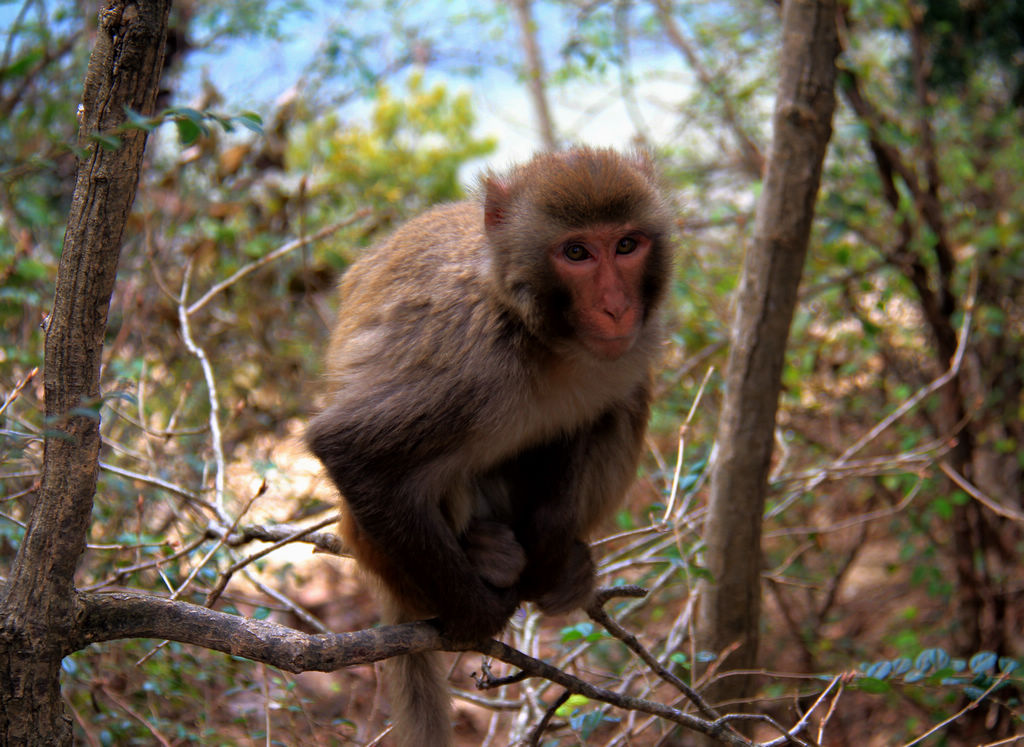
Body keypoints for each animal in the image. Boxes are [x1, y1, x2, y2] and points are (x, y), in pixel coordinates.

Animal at [303, 147, 671, 745]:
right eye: (576, 252)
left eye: (626, 245)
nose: (617, 307)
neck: (542, 335)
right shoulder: (472, 363)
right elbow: (350, 451)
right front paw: (477, 615)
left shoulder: (621, 358)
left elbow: (594, 417)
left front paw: (548, 558)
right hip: (380, 546)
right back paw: (481, 555)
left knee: (626, 402)